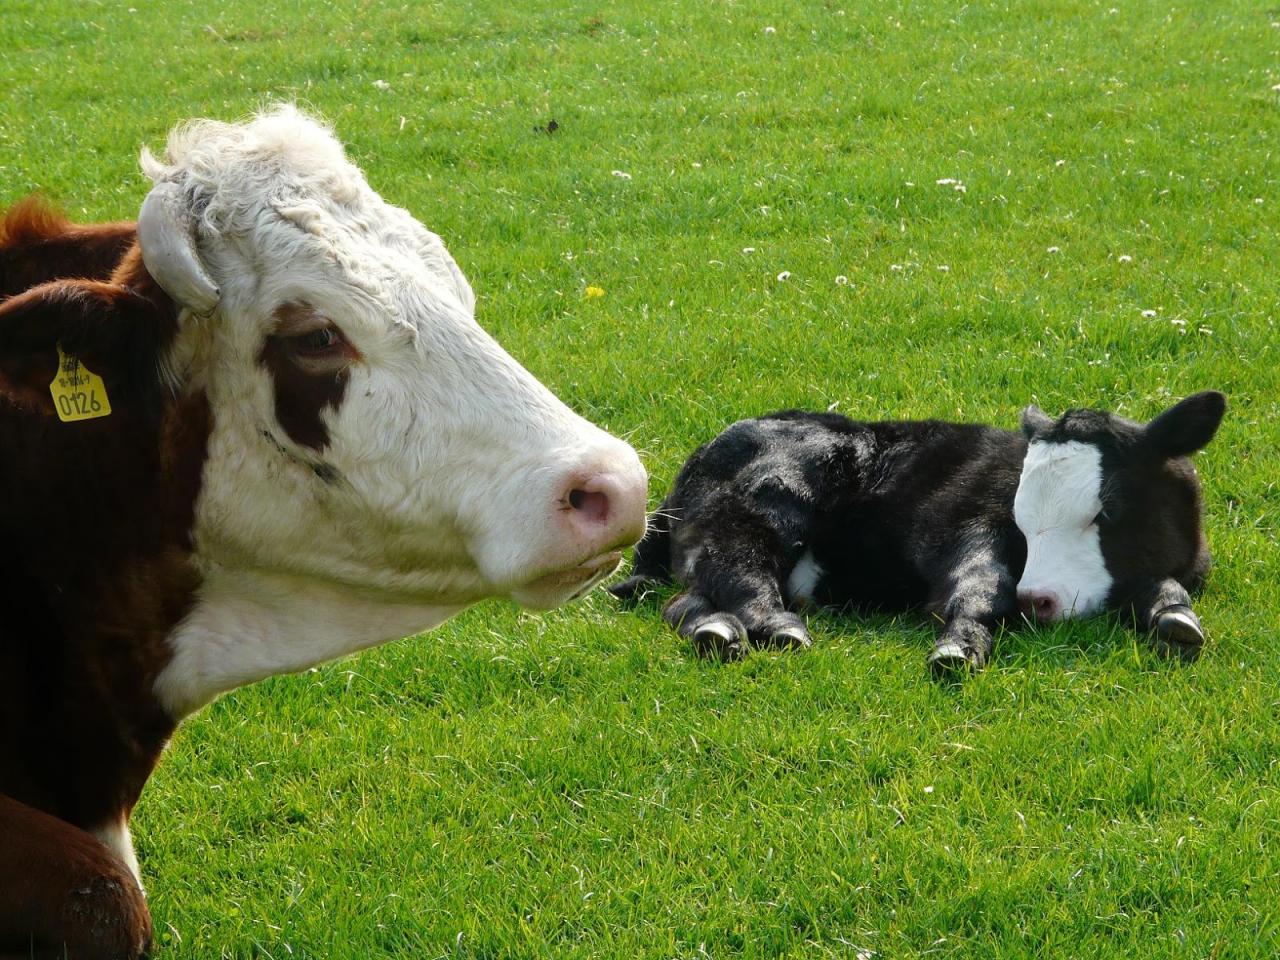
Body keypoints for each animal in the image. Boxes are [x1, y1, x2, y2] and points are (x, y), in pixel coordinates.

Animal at [609, 393, 1225, 673]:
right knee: (742, 570)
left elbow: (1166, 587)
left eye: (1107, 512)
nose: (1039, 599)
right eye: (1022, 516)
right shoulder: (970, 530)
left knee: (687, 600)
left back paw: (714, 630)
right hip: (763, 506)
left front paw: (1176, 620)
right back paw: (780, 628)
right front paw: (959, 644)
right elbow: (982, 586)